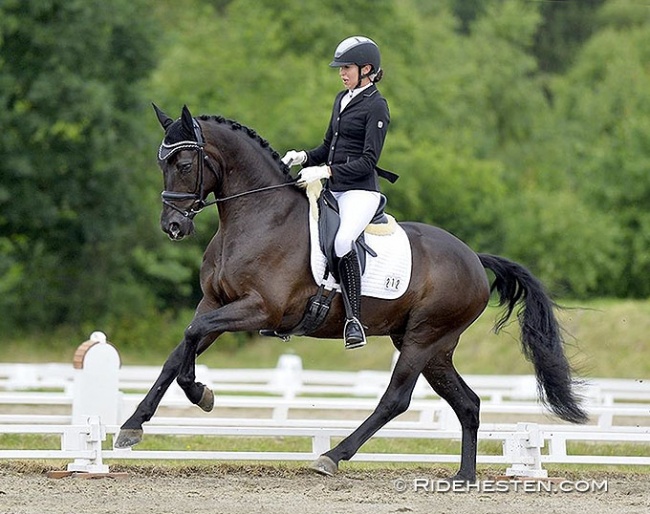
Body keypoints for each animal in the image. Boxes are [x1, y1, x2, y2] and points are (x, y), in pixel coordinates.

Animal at [114, 104, 584, 480]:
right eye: (162, 164)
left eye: (184, 164)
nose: (173, 227)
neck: (256, 216)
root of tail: (472, 256)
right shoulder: (216, 303)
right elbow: (179, 350)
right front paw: (132, 425)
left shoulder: (260, 309)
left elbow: (191, 338)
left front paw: (201, 393)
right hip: (434, 345)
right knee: (468, 403)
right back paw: (464, 476)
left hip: (423, 338)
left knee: (396, 399)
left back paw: (333, 457)